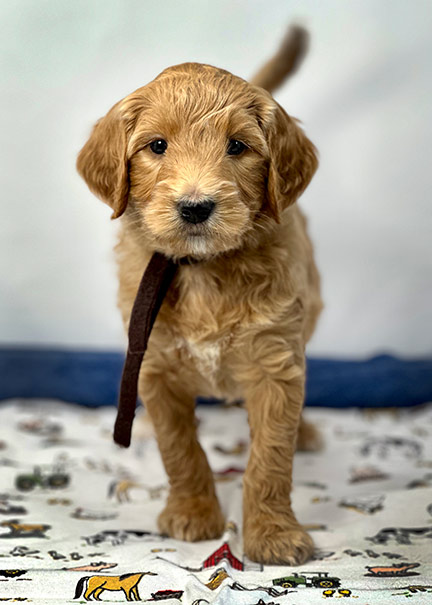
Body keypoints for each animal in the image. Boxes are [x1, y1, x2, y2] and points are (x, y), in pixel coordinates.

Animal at [77, 30, 320, 564]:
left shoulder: (275, 364)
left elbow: (270, 459)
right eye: (157, 146)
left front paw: (273, 534)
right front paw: (192, 512)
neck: (203, 269)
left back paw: (307, 430)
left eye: (237, 146)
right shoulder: (153, 366)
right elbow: (180, 449)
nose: (195, 207)